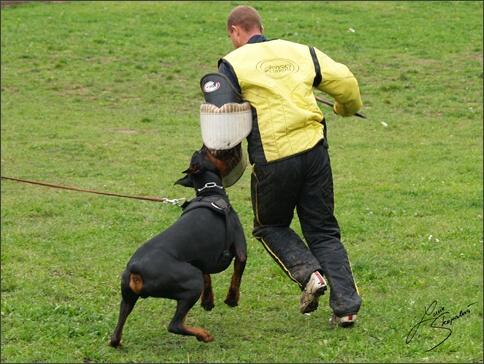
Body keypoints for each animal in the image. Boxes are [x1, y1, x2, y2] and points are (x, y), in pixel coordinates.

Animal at [108, 146, 248, 346]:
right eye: (203, 153)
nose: (200, 147)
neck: (209, 193)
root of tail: (136, 268)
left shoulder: (200, 260)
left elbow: (208, 278)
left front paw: (208, 301)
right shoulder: (241, 249)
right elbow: (236, 276)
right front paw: (232, 299)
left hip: (127, 298)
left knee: (115, 335)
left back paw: (118, 342)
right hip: (191, 283)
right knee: (175, 325)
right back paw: (203, 335)